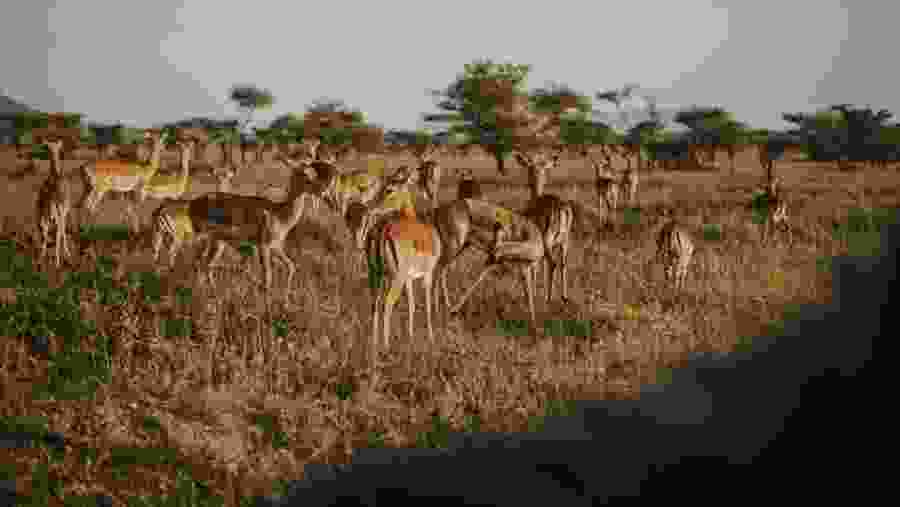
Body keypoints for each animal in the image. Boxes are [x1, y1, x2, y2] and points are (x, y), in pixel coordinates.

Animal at [34, 134, 75, 268]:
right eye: (49, 147)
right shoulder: (64, 209)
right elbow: (61, 229)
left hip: (52, 211)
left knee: (52, 228)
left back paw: (51, 260)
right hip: (59, 210)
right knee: (58, 228)